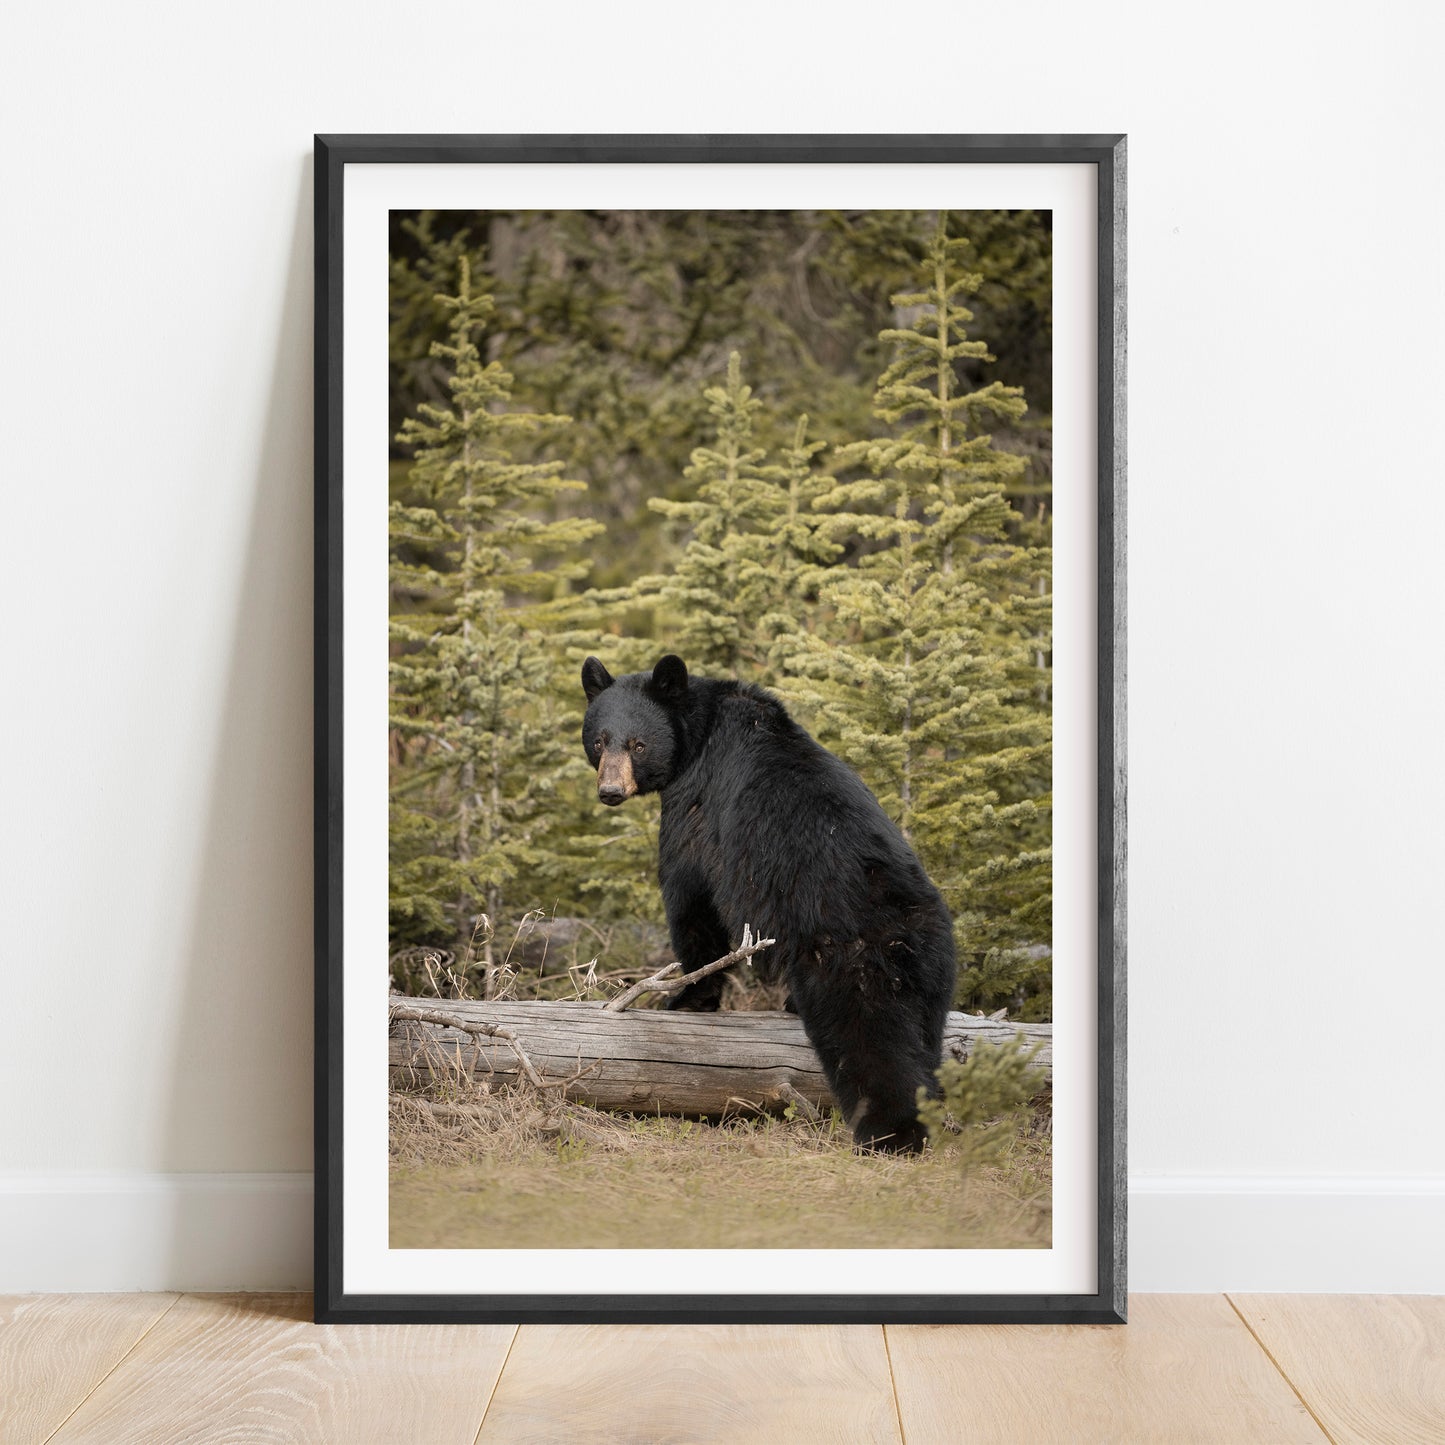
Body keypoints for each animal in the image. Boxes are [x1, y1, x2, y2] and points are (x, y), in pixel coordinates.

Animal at [581, 652, 957, 1153]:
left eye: (639, 745)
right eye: (599, 741)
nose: (610, 791)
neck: (700, 733)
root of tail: (902, 924)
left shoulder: (695, 808)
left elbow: (692, 901)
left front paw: (687, 997)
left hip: (846, 961)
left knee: (872, 1043)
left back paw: (889, 1132)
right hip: (935, 976)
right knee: (926, 1043)